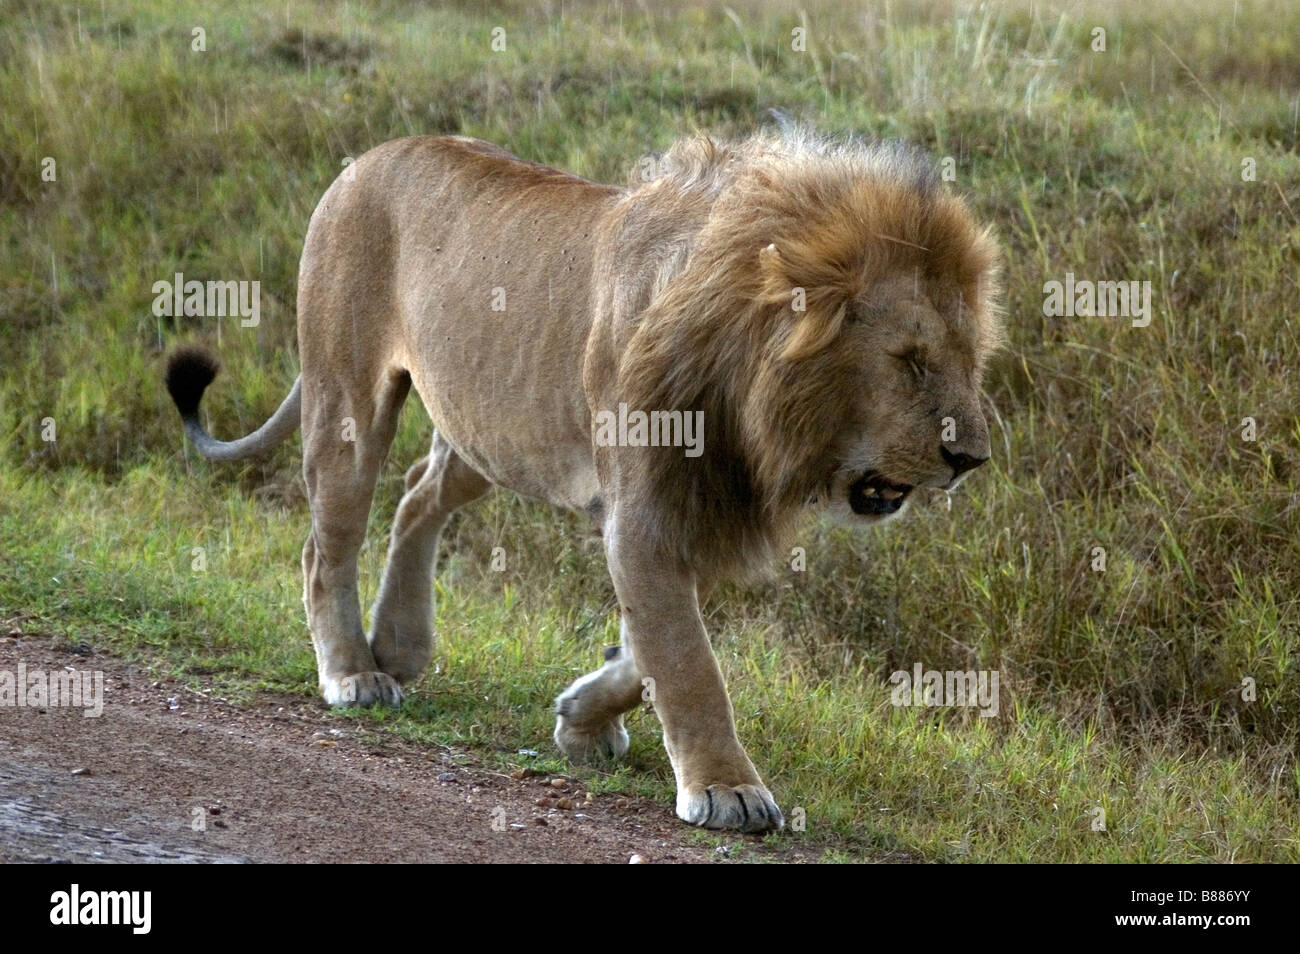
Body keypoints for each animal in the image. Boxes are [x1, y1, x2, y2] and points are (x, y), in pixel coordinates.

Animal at [164, 129, 1002, 833]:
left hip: (489, 432)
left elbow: (652, 645)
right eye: (910, 361)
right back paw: (352, 673)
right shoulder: (645, 512)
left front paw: (581, 713)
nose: (974, 459)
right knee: (327, 543)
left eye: (968, 359)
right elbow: (689, 661)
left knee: (418, 492)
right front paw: (728, 790)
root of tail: (366, 157)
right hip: (348, 398)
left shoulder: (697, 509)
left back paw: (398, 644)